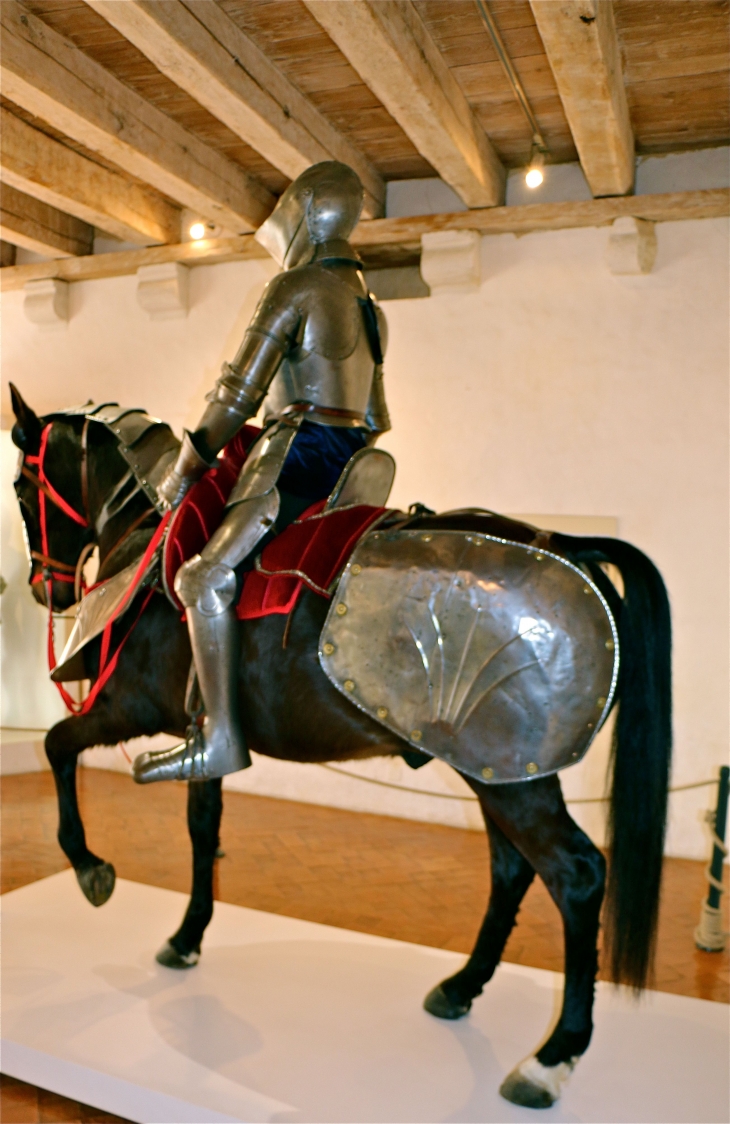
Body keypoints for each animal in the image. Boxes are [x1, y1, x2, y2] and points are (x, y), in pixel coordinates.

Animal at [9, 391, 670, 1110]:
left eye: (18, 487)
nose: (45, 589)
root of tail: (565, 543)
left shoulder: (129, 708)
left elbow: (57, 748)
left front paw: (90, 870)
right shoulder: (204, 733)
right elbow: (202, 827)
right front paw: (186, 938)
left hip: (514, 782)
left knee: (576, 876)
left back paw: (552, 1058)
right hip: (496, 770)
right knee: (512, 869)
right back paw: (460, 988)